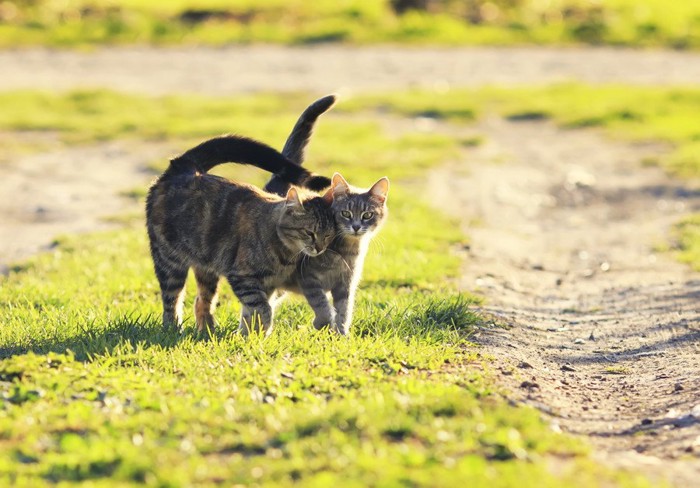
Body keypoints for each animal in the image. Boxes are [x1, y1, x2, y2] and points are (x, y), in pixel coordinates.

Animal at [145, 135, 336, 338]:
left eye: (328, 235)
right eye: (309, 232)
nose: (319, 248)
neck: (286, 254)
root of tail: (184, 167)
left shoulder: (268, 285)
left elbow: (253, 311)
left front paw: (248, 335)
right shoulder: (243, 277)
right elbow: (262, 308)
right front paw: (257, 333)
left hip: (207, 268)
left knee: (202, 301)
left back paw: (206, 331)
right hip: (169, 263)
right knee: (172, 301)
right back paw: (173, 329)